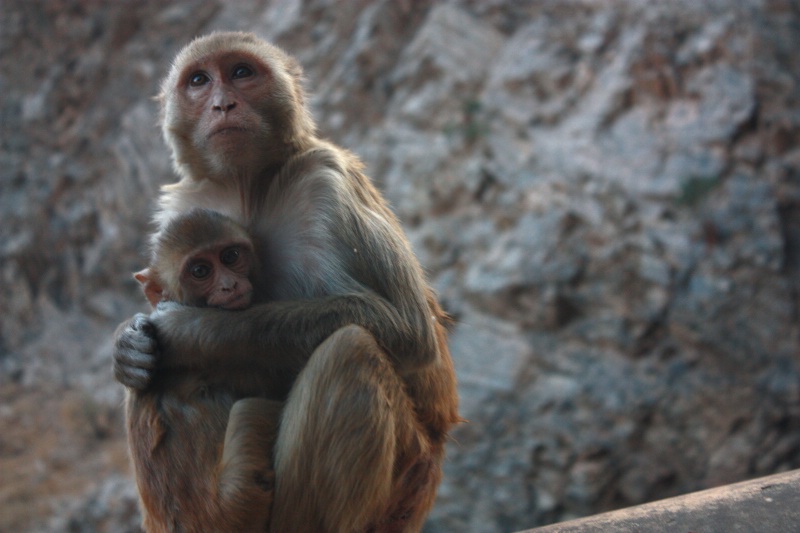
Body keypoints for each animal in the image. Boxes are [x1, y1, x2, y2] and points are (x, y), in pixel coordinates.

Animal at [126, 208, 282, 532]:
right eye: (200, 271)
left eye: (230, 256)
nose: (229, 285)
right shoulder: (226, 360)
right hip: (239, 507)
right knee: (253, 408)